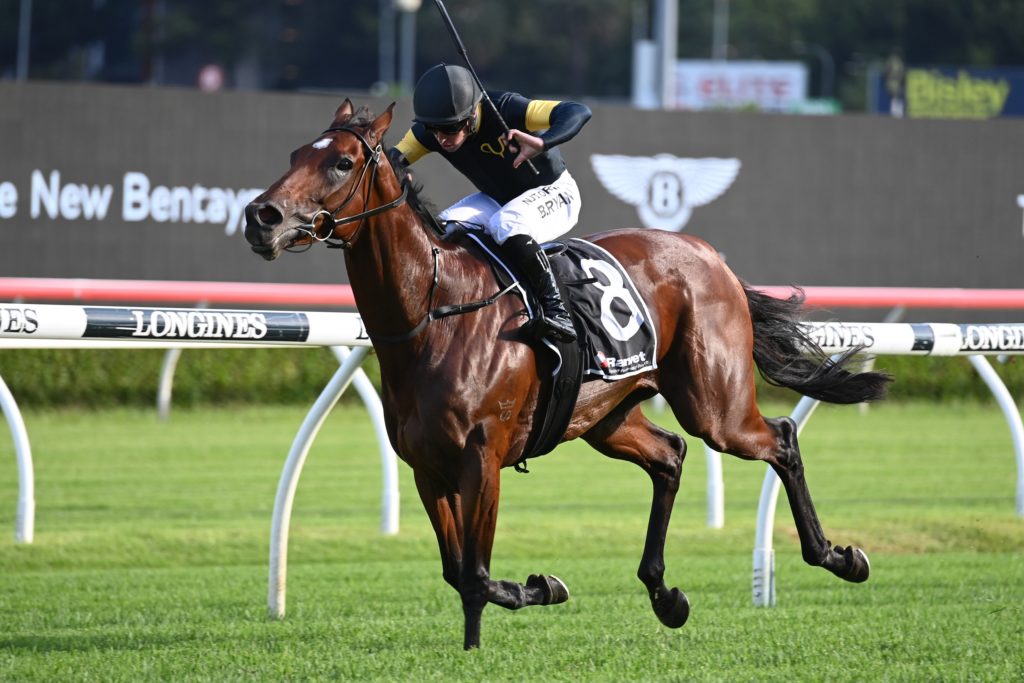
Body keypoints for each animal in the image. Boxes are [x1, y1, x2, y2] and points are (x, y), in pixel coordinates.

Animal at [243, 100, 890, 650]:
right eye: (296, 154)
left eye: (342, 162)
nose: (260, 216)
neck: (435, 312)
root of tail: (711, 256)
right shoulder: (427, 467)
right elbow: (458, 571)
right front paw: (536, 590)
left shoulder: (482, 458)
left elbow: (476, 575)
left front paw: (505, 618)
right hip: (606, 415)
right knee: (670, 455)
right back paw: (665, 594)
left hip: (716, 406)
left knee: (779, 438)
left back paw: (837, 557)